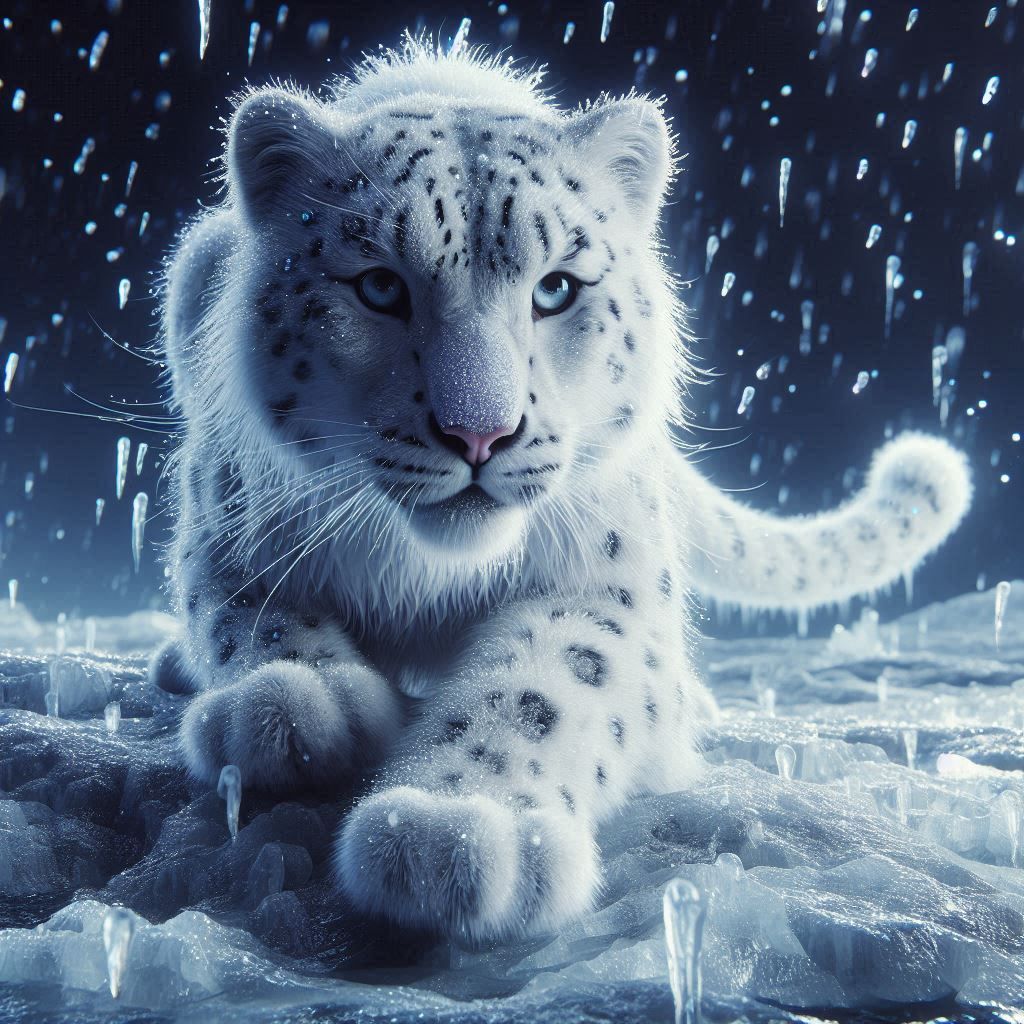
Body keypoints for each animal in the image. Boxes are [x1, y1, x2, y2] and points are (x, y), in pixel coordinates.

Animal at [151, 37, 972, 944]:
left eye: (556, 287)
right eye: (379, 286)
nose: (479, 433)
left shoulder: (608, 582)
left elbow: (547, 683)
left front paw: (446, 828)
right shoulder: (225, 517)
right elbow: (244, 610)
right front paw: (296, 705)